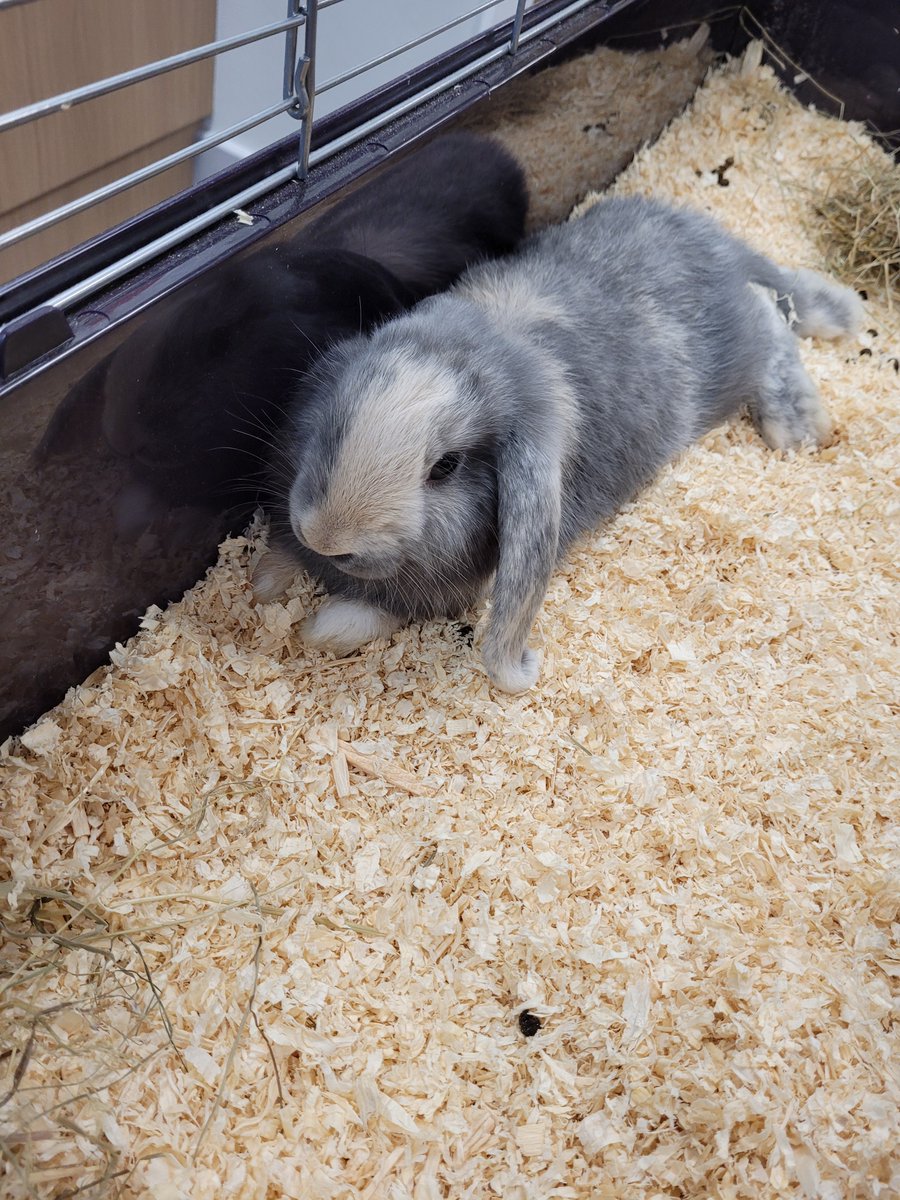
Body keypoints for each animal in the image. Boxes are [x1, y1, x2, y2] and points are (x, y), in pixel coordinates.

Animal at [259, 195, 863, 692]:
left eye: (445, 467)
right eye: (337, 412)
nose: (327, 536)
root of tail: (718, 245)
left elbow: (368, 617)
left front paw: (320, 627)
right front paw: (265, 581)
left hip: (741, 351)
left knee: (774, 320)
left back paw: (801, 425)